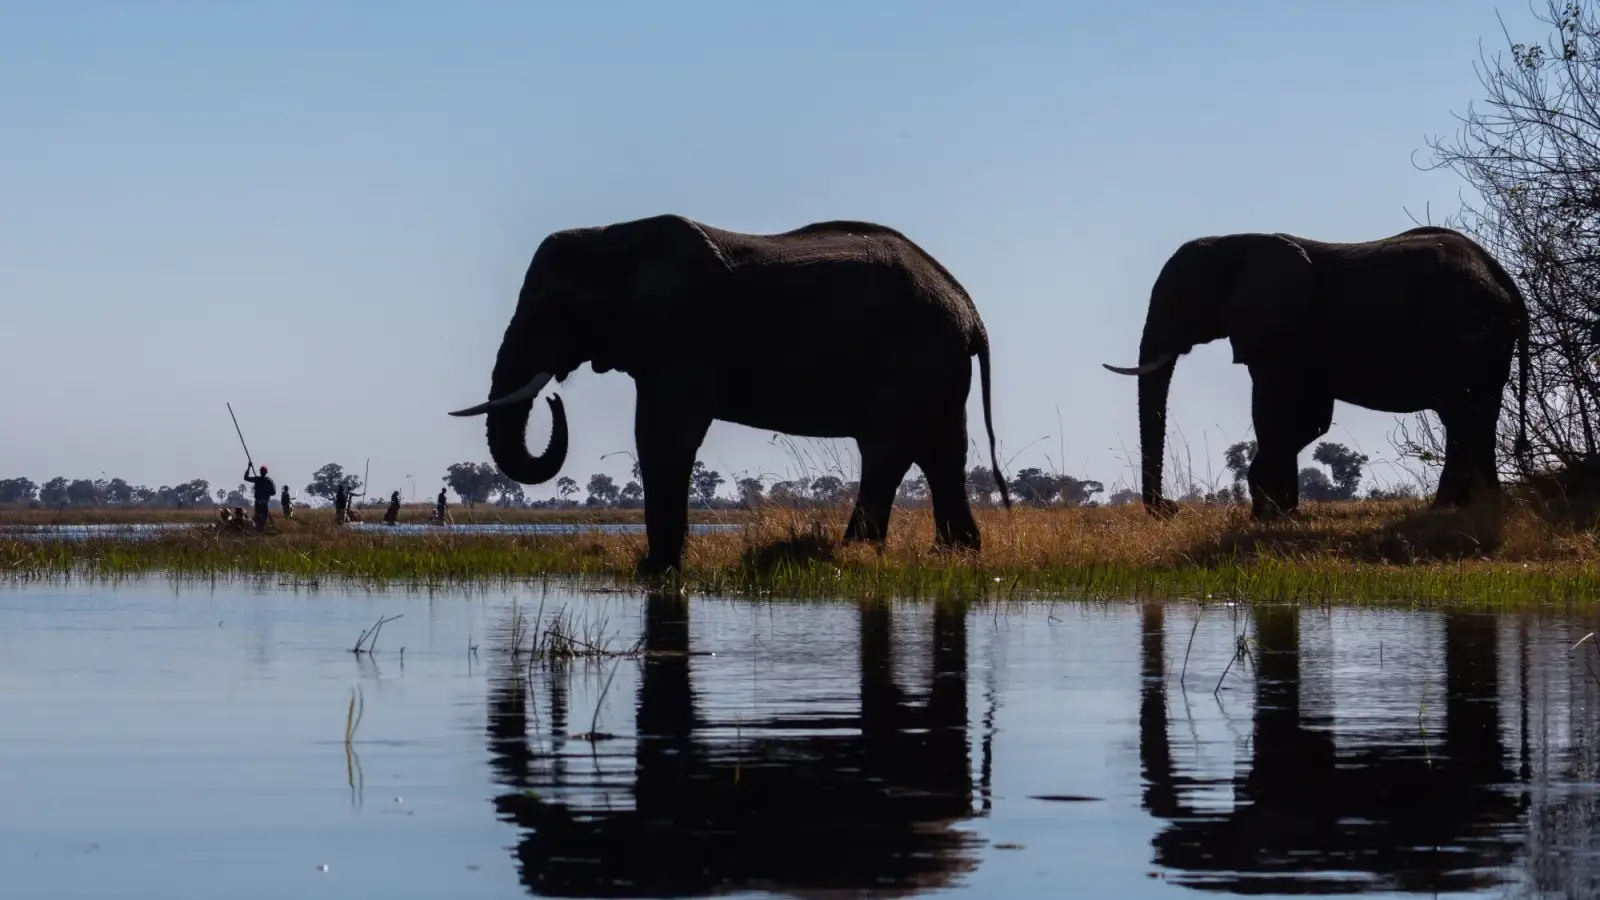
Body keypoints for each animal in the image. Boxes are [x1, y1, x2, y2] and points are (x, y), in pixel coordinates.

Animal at [448, 213, 1012, 575]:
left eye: (554, 307)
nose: (553, 396)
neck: (614, 235)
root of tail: (971, 312)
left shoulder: (693, 336)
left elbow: (664, 435)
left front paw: (657, 571)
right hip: (937, 363)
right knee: (942, 452)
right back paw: (954, 557)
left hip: (911, 355)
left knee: (886, 449)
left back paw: (852, 556)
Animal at [1103, 225, 1531, 520]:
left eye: (1180, 299)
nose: (1170, 508)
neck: (1234, 241)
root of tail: (1504, 279)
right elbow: (1309, 421)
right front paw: (1281, 513)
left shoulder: (1284, 335)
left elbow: (1280, 416)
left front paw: (1266, 516)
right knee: (1476, 417)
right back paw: (1478, 506)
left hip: (1465, 336)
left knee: (1463, 416)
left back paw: (1448, 508)